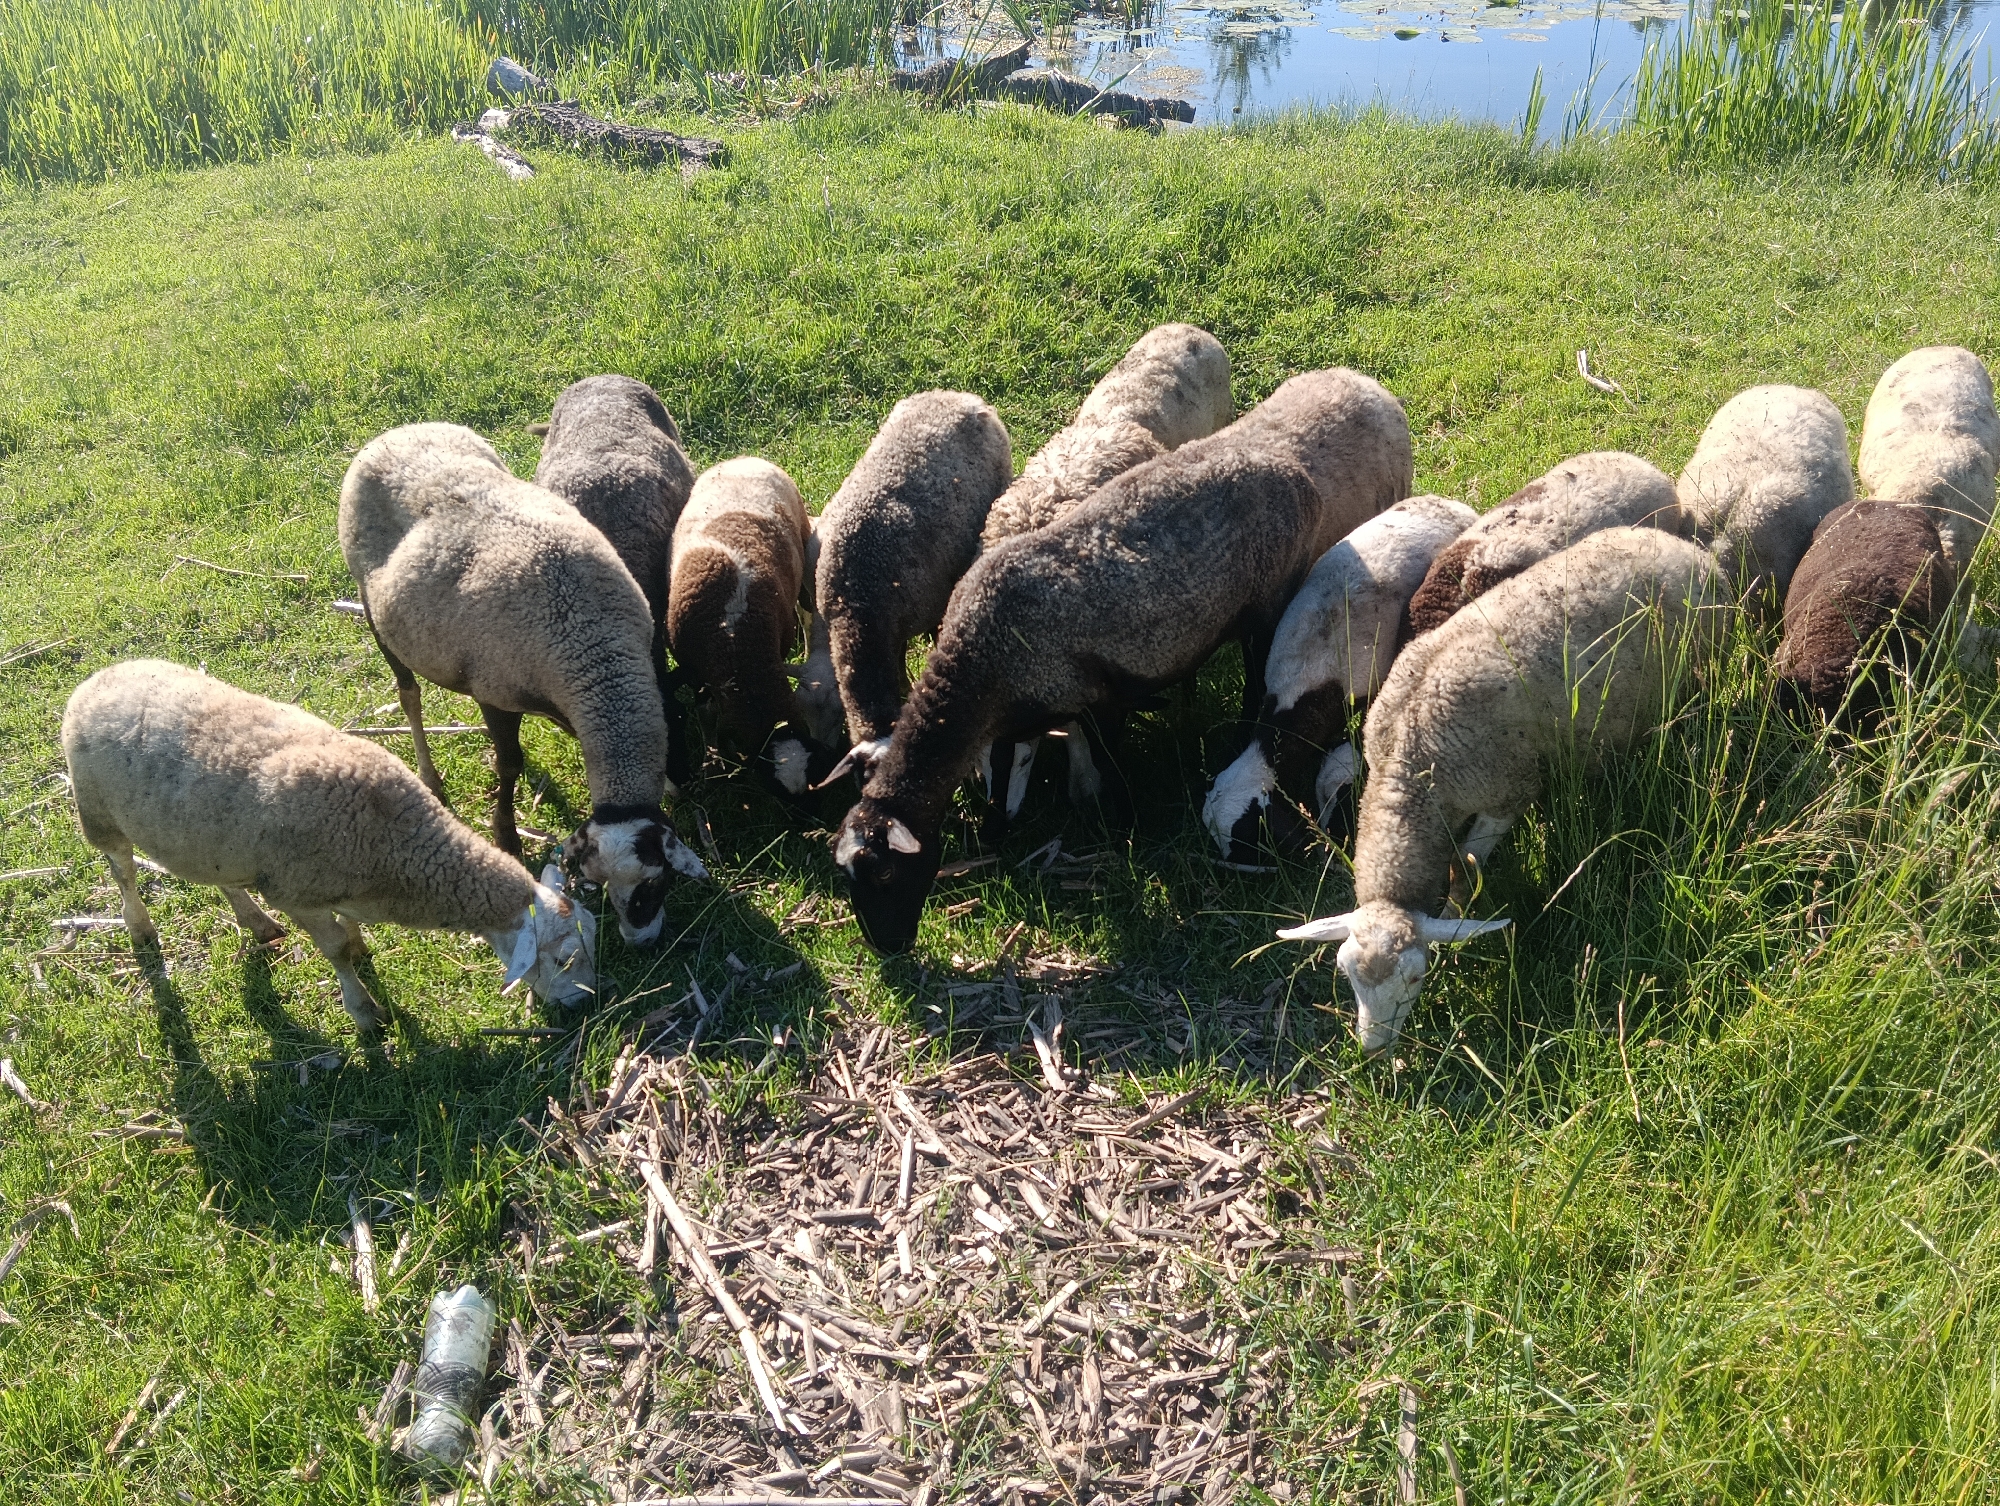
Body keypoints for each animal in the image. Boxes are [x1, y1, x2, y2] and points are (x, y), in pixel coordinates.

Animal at [62, 659, 596, 1038]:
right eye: (564, 959)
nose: (586, 1003)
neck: (396, 842)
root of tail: (97, 679)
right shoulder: (296, 892)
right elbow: (334, 948)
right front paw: (365, 1013)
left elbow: (348, 928)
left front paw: (359, 946)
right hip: (98, 811)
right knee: (124, 873)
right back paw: (140, 929)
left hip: (205, 837)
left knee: (221, 879)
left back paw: (256, 923)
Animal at [339, 422, 707, 947]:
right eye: (603, 886)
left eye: (657, 882)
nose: (642, 943)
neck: (593, 651)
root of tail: (397, 432)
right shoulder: (494, 692)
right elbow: (508, 763)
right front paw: (506, 836)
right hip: (375, 611)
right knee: (409, 694)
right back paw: (430, 778)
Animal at [667, 456, 834, 796]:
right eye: (774, 790)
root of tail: (744, 459)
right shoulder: (695, 672)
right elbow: (706, 716)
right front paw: (712, 763)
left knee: (807, 612)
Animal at [832, 438, 1326, 953]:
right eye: (847, 876)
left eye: (886, 873)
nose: (885, 947)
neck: (979, 663)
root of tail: (1293, 473)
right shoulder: (1013, 715)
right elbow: (1003, 767)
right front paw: (994, 831)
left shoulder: (1099, 697)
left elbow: (1108, 762)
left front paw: (1127, 828)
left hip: (1268, 601)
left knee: (1255, 680)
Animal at [1277, 528, 1731, 1055]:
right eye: (1345, 973)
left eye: (1415, 979)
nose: (1372, 1049)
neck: (1408, 765)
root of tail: (1684, 548)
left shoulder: (1507, 792)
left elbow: (1465, 874)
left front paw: (1455, 931)